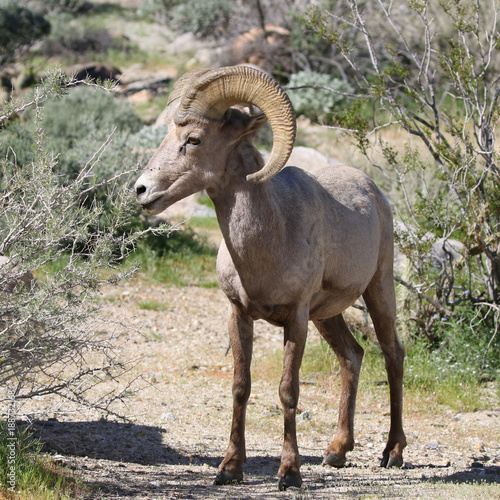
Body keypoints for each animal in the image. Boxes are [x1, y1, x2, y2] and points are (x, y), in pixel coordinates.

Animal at [134, 65, 406, 488]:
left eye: (194, 139)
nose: (142, 191)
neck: (268, 241)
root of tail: (374, 191)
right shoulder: (239, 315)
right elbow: (240, 387)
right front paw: (229, 469)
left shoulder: (295, 319)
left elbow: (288, 391)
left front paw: (289, 474)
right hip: (327, 316)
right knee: (352, 356)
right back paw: (336, 452)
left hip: (378, 291)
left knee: (393, 356)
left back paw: (392, 453)